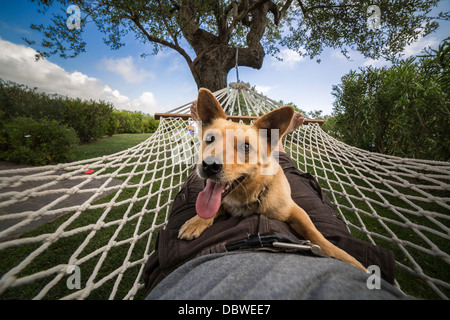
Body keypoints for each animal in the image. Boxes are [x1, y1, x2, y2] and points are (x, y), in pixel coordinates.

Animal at [178, 88, 368, 272]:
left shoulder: (295, 211)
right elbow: (212, 209)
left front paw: (344, 257)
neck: (250, 195)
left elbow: (315, 234)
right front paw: (196, 221)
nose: (209, 166)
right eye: (210, 139)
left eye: (245, 146)